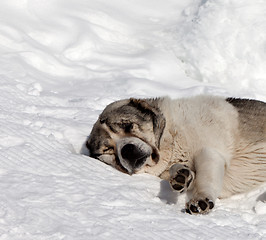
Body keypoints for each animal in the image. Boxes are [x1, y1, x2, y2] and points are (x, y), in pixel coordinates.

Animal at [86, 95, 264, 214]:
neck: (172, 138)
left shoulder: (209, 152)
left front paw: (201, 200)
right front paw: (181, 176)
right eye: (108, 150)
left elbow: (206, 178)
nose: (127, 150)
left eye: (128, 125)